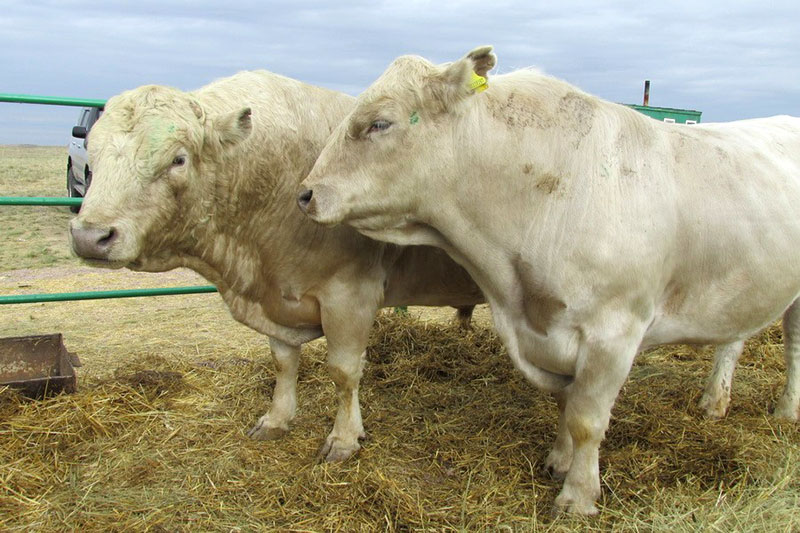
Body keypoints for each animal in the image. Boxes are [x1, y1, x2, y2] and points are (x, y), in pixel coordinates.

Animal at [69, 70, 482, 462]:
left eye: (178, 159)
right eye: (92, 153)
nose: (90, 236)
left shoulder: (349, 296)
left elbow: (344, 372)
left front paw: (344, 438)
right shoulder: (275, 297)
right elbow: (283, 363)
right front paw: (277, 419)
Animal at [300, 47, 800, 512]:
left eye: (379, 123)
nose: (305, 193)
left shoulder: (614, 333)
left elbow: (587, 420)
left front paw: (578, 496)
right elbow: (566, 402)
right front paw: (559, 460)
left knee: (793, 347)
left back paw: (786, 411)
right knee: (734, 339)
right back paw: (715, 401)